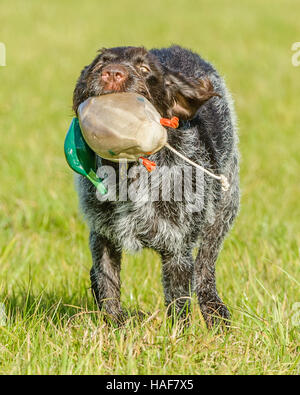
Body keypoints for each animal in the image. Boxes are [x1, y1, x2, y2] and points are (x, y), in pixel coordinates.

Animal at [72, 45, 239, 328]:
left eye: (144, 69)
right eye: (101, 63)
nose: (112, 73)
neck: (129, 172)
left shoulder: (177, 249)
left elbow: (179, 303)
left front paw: (178, 336)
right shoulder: (103, 237)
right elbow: (108, 287)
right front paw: (115, 326)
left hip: (223, 213)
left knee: (205, 267)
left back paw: (214, 310)